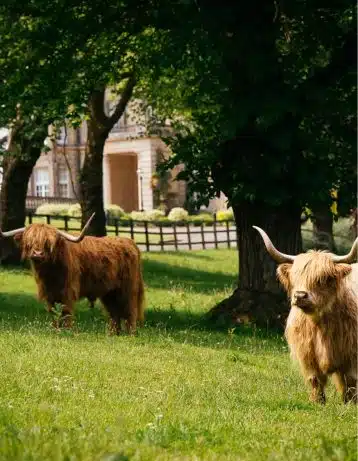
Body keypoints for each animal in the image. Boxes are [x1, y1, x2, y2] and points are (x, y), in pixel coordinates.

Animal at [1, 214, 145, 332]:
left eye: (48, 243)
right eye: (29, 241)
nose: (37, 253)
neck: (50, 274)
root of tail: (131, 243)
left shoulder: (68, 291)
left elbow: (66, 312)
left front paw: (67, 331)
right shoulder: (49, 294)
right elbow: (53, 312)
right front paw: (56, 329)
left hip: (128, 289)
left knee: (130, 310)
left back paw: (130, 334)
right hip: (109, 292)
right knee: (114, 312)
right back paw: (114, 334)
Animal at [253, 226, 356, 402]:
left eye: (324, 278)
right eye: (295, 276)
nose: (300, 296)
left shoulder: (352, 357)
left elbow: (351, 382)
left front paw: (351, 404)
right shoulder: (307, 355)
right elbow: (315, 381)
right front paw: (317, 403)